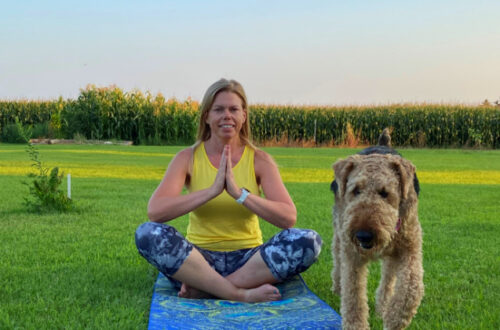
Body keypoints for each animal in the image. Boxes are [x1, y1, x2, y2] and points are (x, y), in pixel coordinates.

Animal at [330, 127, 424, 328]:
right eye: (356, 190)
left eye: (385, 193)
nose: (363, 235)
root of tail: (382, 144)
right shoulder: (352, 255)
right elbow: (353, 298)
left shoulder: (410, 248)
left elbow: (411, 289)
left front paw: (394, 318)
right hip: (340, 235)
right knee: (338, 262)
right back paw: (338, 287)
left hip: (393, 254)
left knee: (388, 278)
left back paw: (383, 306)